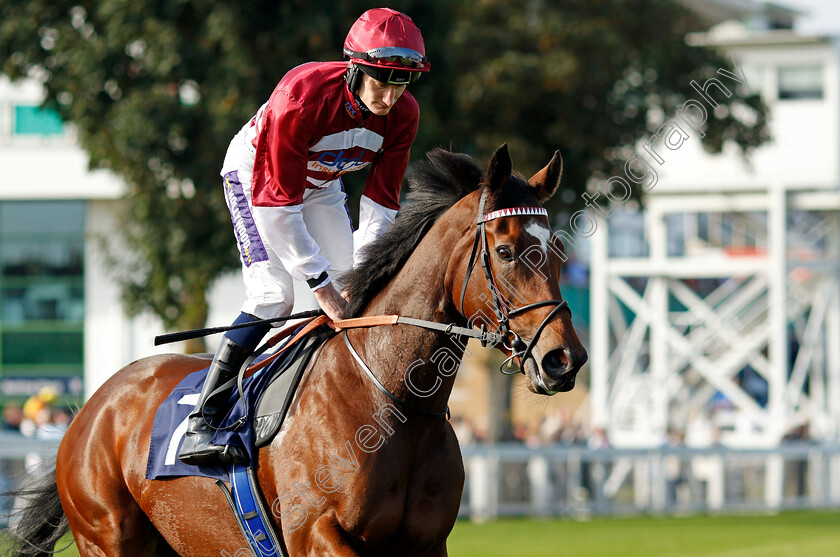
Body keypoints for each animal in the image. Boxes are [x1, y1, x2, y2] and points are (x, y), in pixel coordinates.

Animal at [6, 144, 584, 556]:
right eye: (506, 251)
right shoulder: (316, 534)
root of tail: (93, 407)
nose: (564, 359)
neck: (394, 402)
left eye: (557, 252)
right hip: (107, 536)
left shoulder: (425, 543)